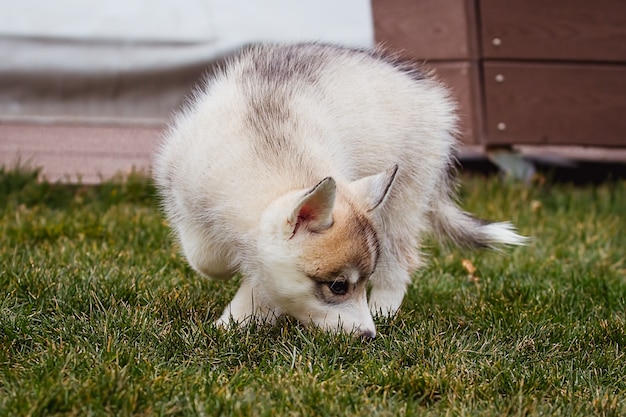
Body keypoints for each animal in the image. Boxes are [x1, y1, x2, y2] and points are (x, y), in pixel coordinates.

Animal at [152, 42, 528, 336]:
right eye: (338, 286)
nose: (368, 336)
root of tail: (427, 93)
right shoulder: (180, 191)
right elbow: (205, 259)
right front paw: (237, 310)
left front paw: (239, 317)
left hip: (403, 201)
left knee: (400, 263)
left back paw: (384, 310)